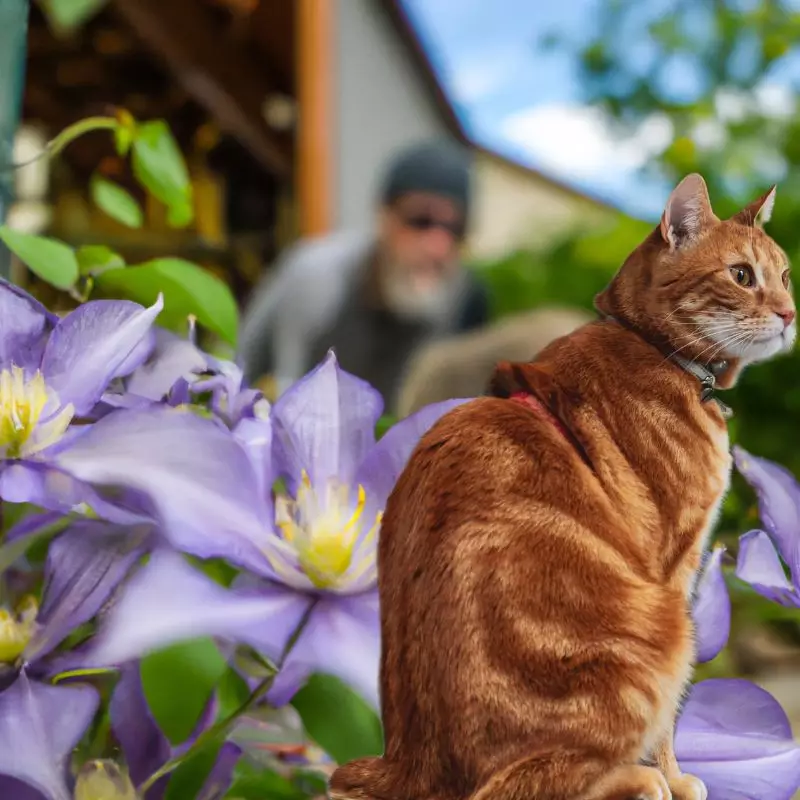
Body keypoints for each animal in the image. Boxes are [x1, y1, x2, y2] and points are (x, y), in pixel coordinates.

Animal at [328, 177, 796, 800]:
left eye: (786, 275)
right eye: (742, 275)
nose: (791, 314)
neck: (654, 347)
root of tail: (408, 769)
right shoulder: (673, 567)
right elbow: (668, 721)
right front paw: (672, 776)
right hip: (659, 632)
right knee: (524, 784)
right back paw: (637, 780)